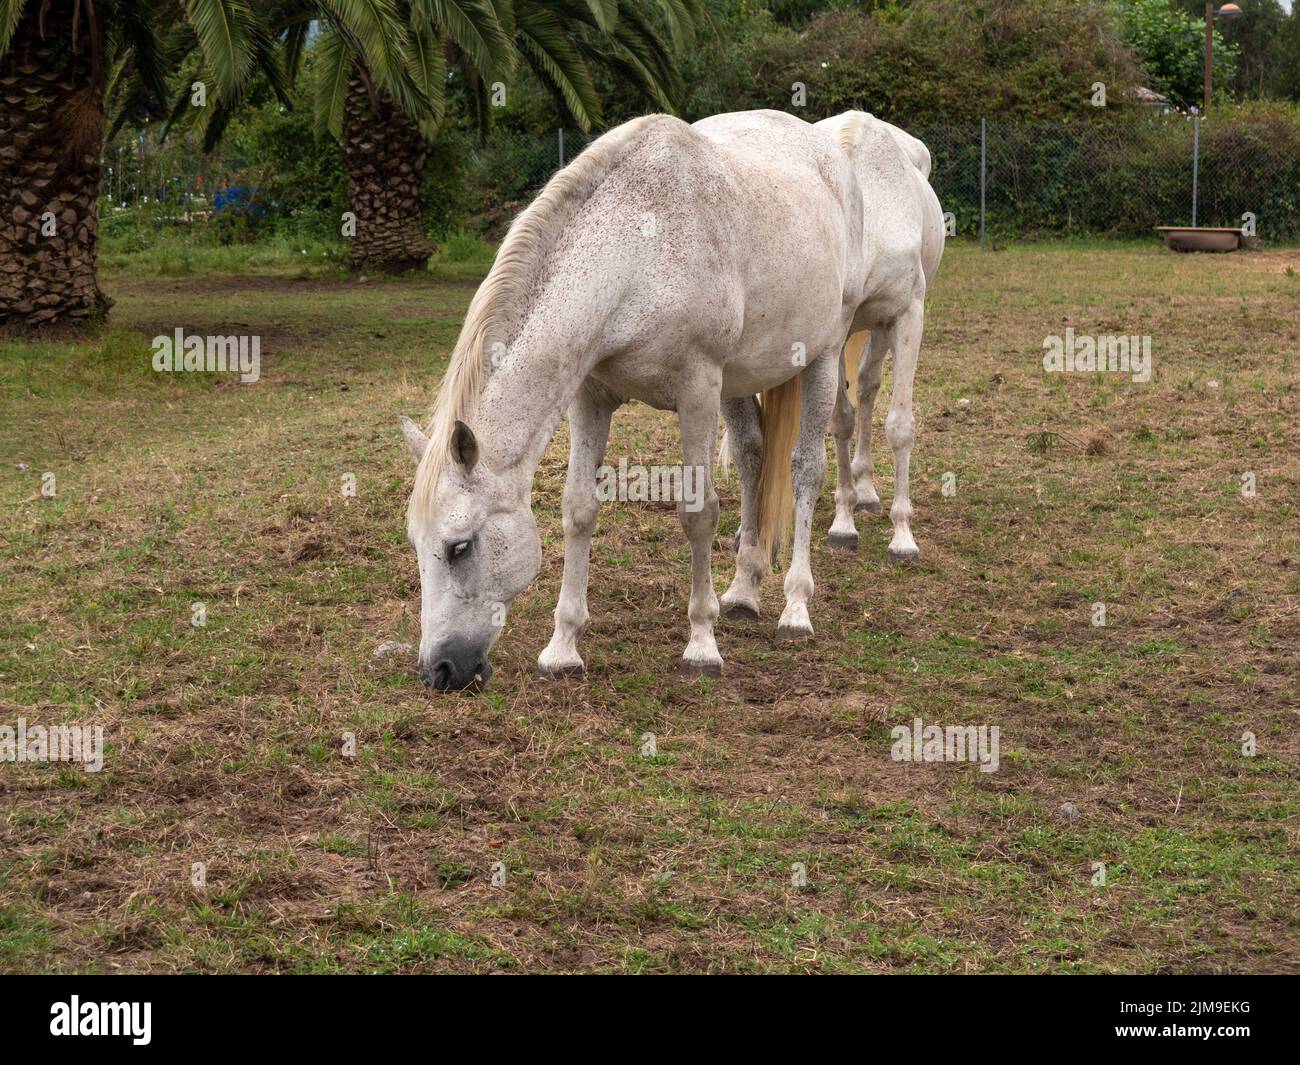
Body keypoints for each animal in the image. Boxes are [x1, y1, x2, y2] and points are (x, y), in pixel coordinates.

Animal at [401, 109, 940, 690]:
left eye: (459, 547)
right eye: (416, 544)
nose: (441, 669)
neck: (637, 252)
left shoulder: (698, 392)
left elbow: (699, 512)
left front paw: (702, 643)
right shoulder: (591, 397)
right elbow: (578, 509)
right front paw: (562, 647)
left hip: (824, 352)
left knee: (807, 467)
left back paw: (797, 606)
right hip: (744, 380)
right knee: (753, 459)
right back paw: (744, 590)